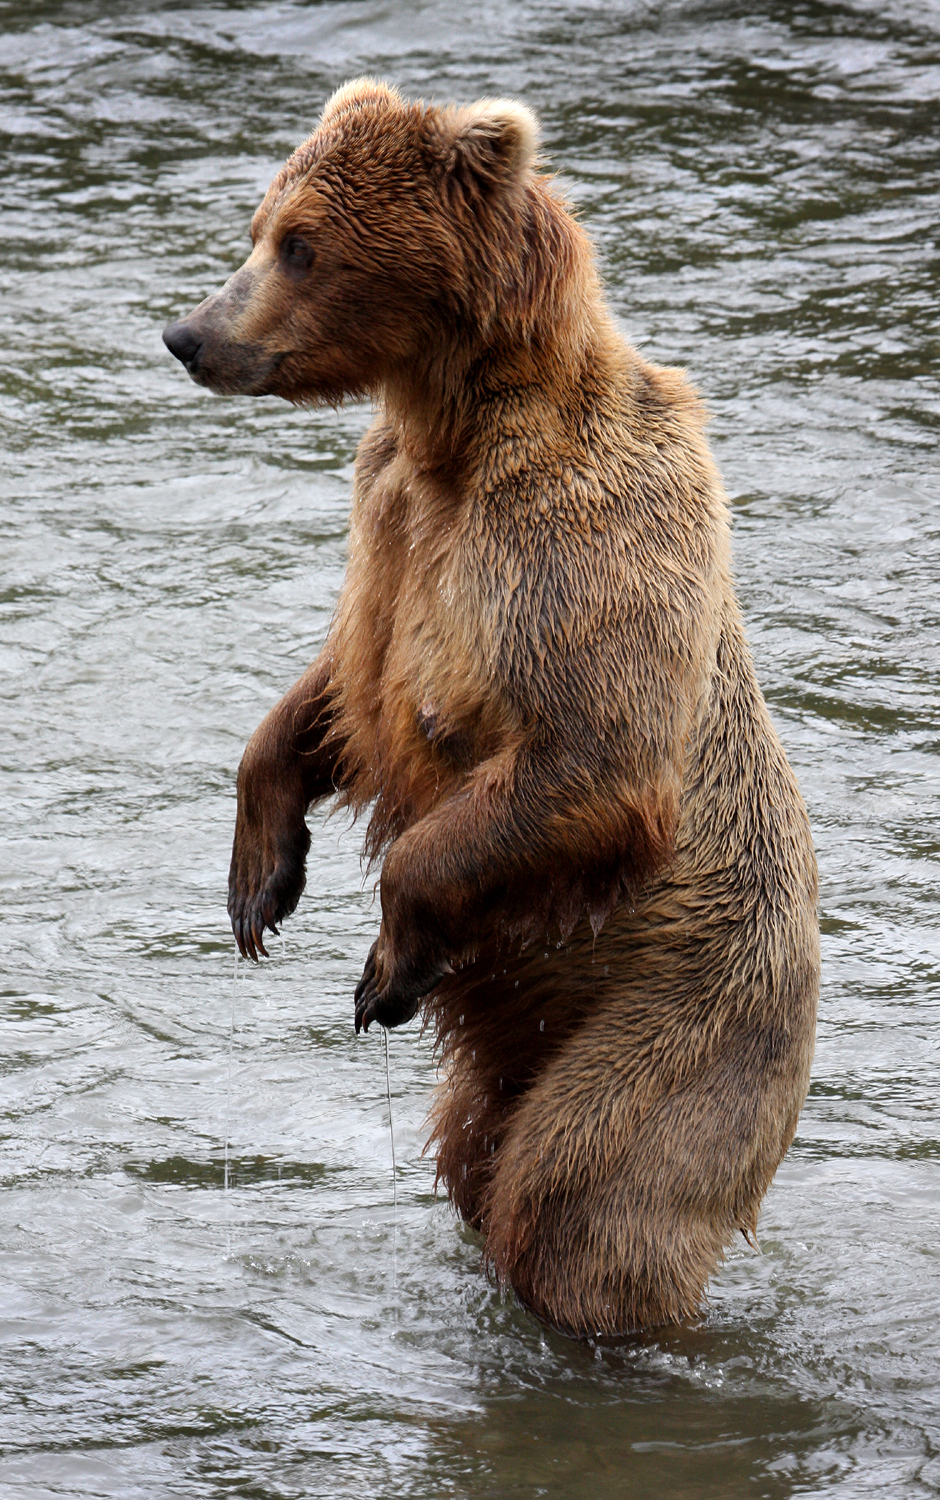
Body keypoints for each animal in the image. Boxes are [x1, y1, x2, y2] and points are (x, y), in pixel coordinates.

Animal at [163, 78, 819, 1338]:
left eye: (301, 244)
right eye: (260, 223)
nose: (190, 335)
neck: (456, 426)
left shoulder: (572, 539)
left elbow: (587, 760)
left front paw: (383, 965)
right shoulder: (392, 521)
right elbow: (340, 685)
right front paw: (258, 879)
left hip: (684, 1011)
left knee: (589, 1198)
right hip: (515, 1054)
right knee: (477, 1159)